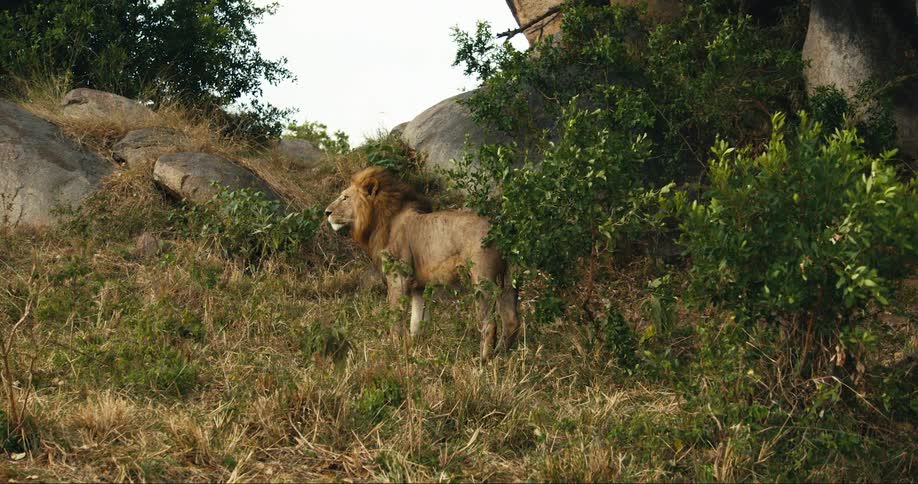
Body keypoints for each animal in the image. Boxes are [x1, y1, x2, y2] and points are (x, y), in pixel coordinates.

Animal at [324, 166, 519, 359]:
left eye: (345, 197)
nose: (326, 212)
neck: (382, 220)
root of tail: (502, 229)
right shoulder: (420, 287)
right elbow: (417, 322)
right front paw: (415, 351)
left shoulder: (398, 278)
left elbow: (396, 317)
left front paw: (395, 350)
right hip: (509, 279)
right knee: (511, 320)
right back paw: (501, 355)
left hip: (482, 280)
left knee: (490, 324)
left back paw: (484, 360)